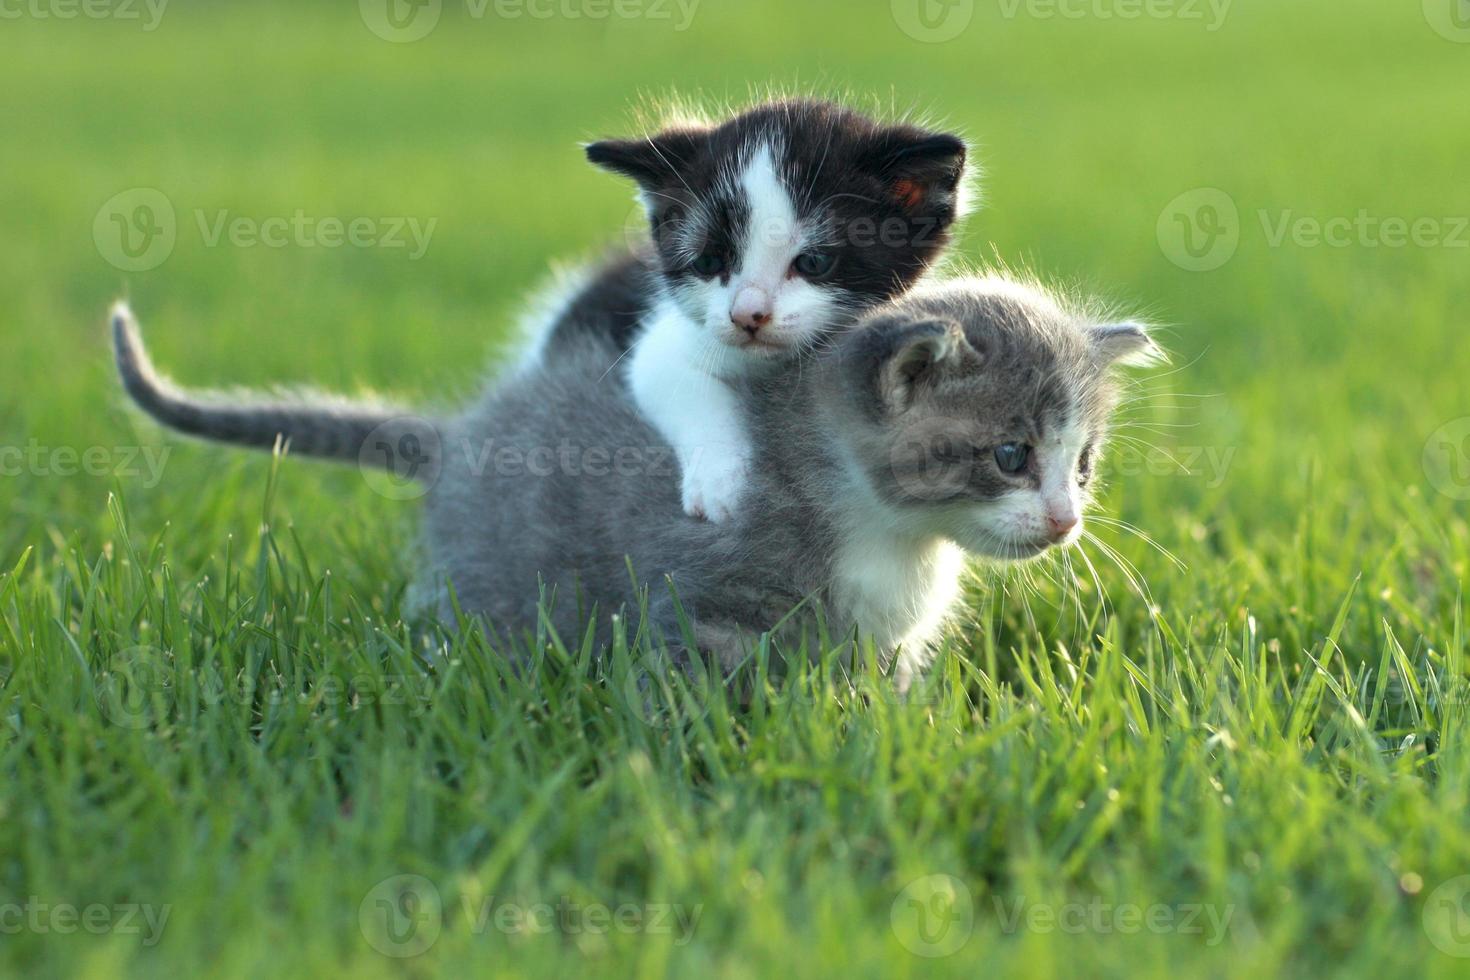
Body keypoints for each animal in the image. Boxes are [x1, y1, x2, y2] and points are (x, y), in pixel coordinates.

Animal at [114, 274, 1158, 690]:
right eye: (1010, 454)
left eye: (1084, 462)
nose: (1065, 520)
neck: (887, 537)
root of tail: (459, 434)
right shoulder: (700, 603)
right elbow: (693, 690)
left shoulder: (884, 644)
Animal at [532, 101, 976, 520]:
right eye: (708, 262)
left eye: (813, 262)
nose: (747, 315)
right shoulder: (664, 342)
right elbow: (680, 382)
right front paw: (719, 484)